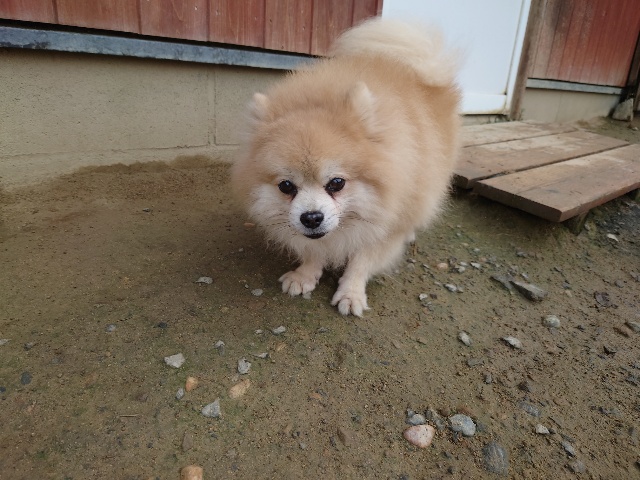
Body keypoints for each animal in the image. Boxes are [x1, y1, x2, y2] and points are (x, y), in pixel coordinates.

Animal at [231, 18, 461, 316]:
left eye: (336, 183)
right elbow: (313, 251)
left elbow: (361, 261)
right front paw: (305, 274)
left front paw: (351, 293)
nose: (311, 218)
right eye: (286, 186)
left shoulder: (384, 222)